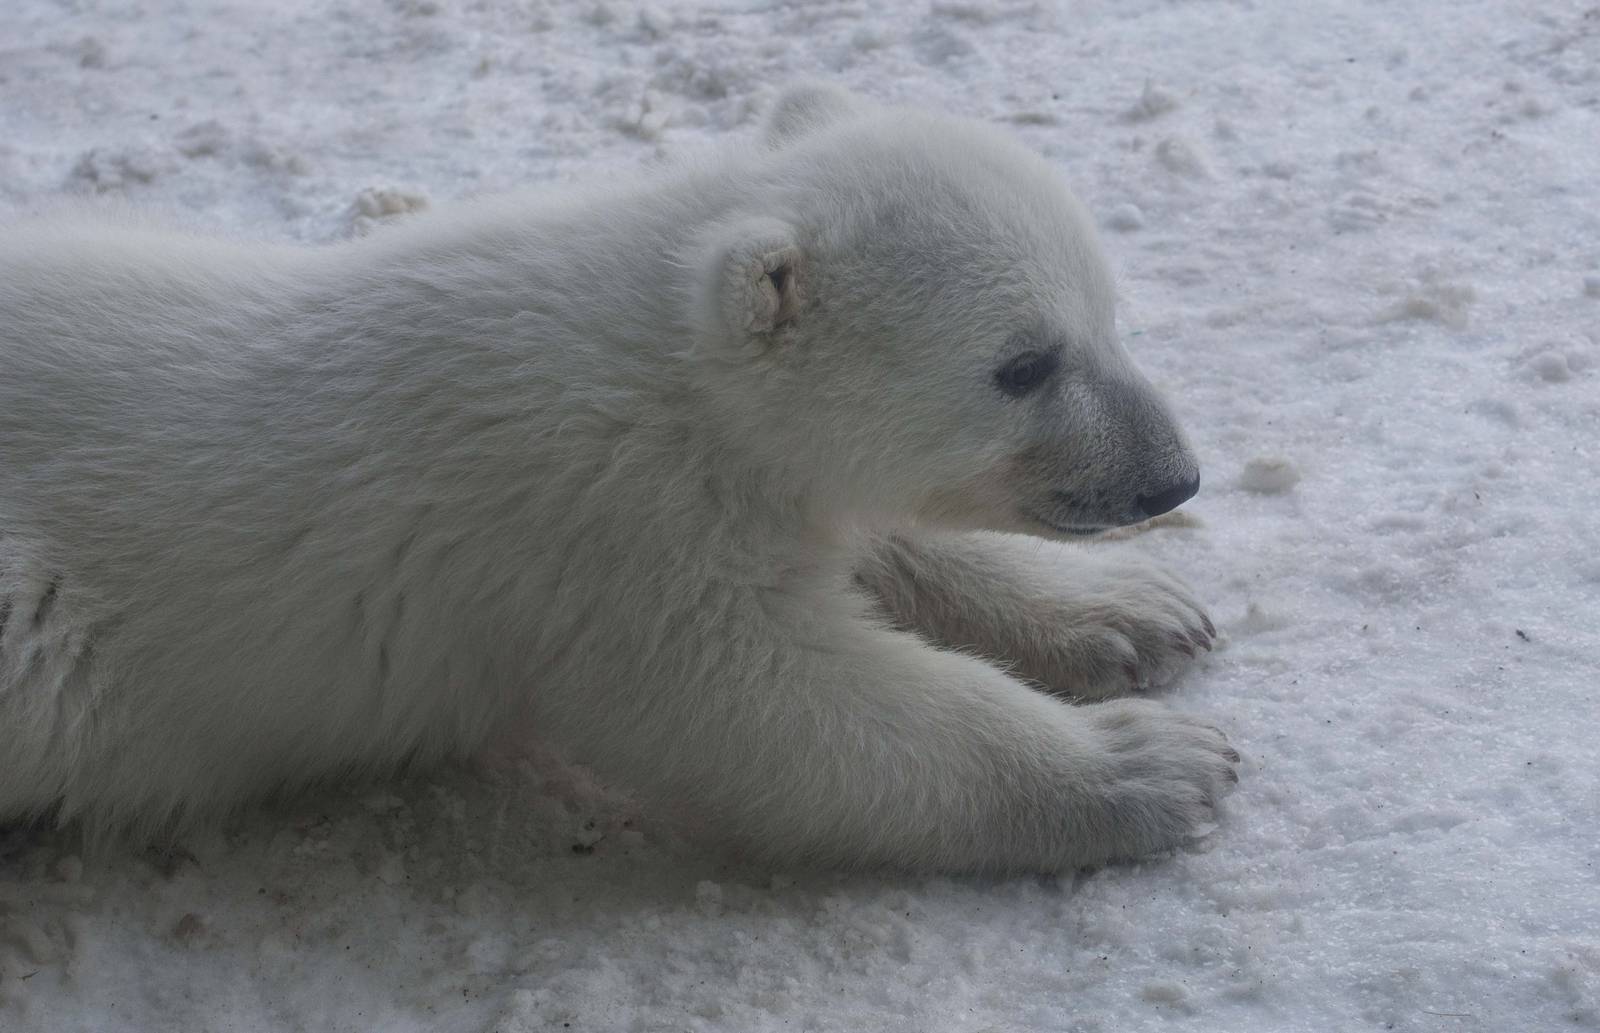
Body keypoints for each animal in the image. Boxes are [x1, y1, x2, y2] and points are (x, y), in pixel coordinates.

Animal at [0, 84, 1236, 872]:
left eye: (1107, 314)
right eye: (1021, 365)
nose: (1170, 479)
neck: (664, 359)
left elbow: (869, 536)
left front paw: (1136, 612)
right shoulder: (599, 526)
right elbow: (774, 704)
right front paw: (1154, 765)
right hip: (41, 627)